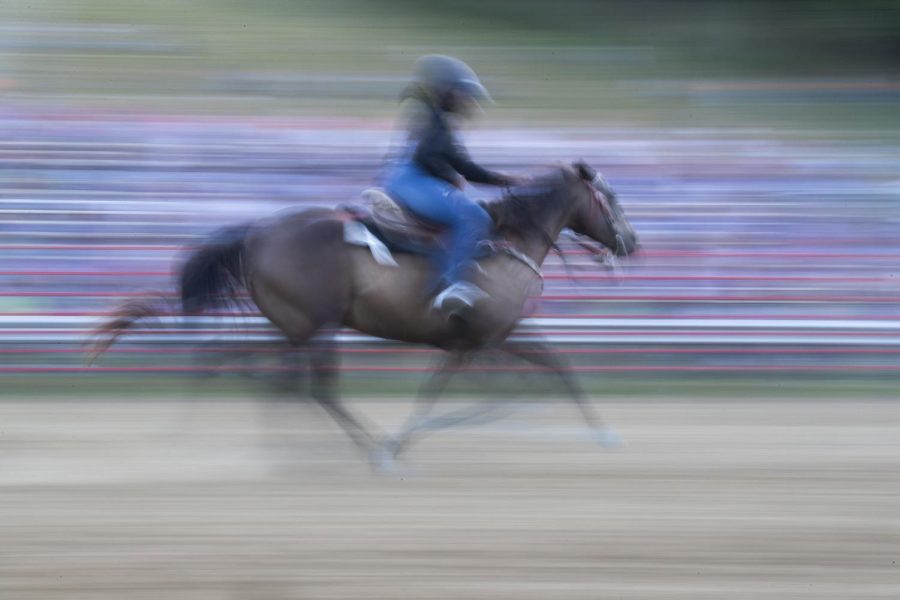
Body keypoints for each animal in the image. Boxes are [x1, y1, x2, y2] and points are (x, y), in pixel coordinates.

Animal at [89, 161, 640, 464]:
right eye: (609, 197)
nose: (632, 242)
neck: (507, 243)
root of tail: (256, 234)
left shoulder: (501, 336)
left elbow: (557, 369)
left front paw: (607, 434)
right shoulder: (474, 343)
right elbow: (451, 392)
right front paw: (403, 442)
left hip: (294, 327)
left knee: (245, 366)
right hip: (317, 327)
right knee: (313, 388)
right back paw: (374, 452)